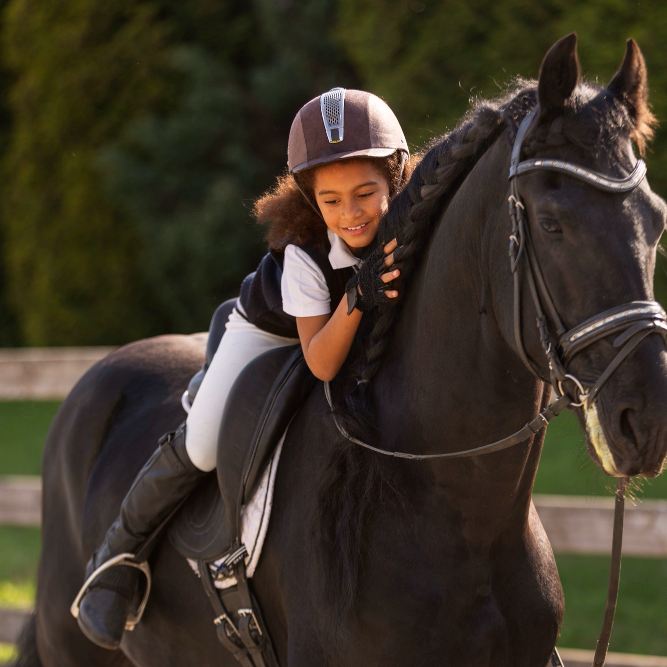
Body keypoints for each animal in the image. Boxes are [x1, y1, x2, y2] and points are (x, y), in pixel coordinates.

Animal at [14, 36, 667, 667]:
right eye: (553, 225)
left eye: (656, 220)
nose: (646, 424)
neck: (461, 510)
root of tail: (96, 376)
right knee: (183, 453)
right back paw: (105, 593)